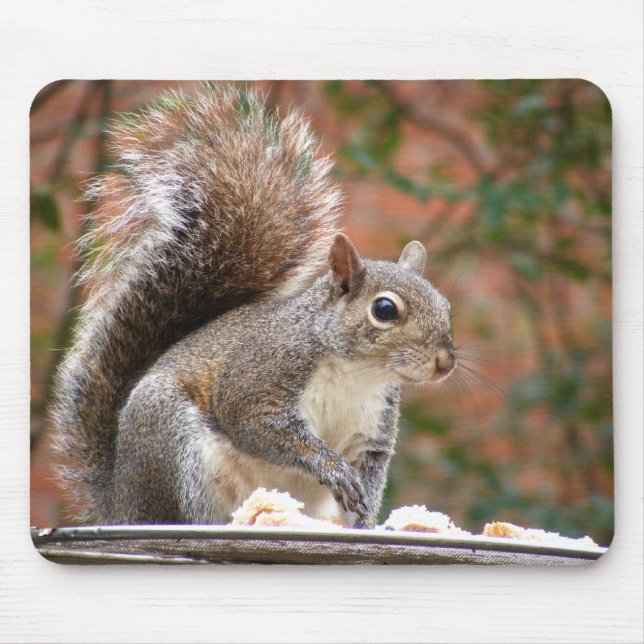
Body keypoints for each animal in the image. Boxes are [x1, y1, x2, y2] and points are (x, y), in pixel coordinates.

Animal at [52, 84, 456, 528]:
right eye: (384, 310)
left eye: (445, 306)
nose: (445, 363)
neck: (356, 373)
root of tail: (119, 503)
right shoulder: (260, 375)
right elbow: (253, 423)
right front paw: (329, 467)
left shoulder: (373, 430)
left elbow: (368, 482)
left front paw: (369, 522)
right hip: (167, 434)